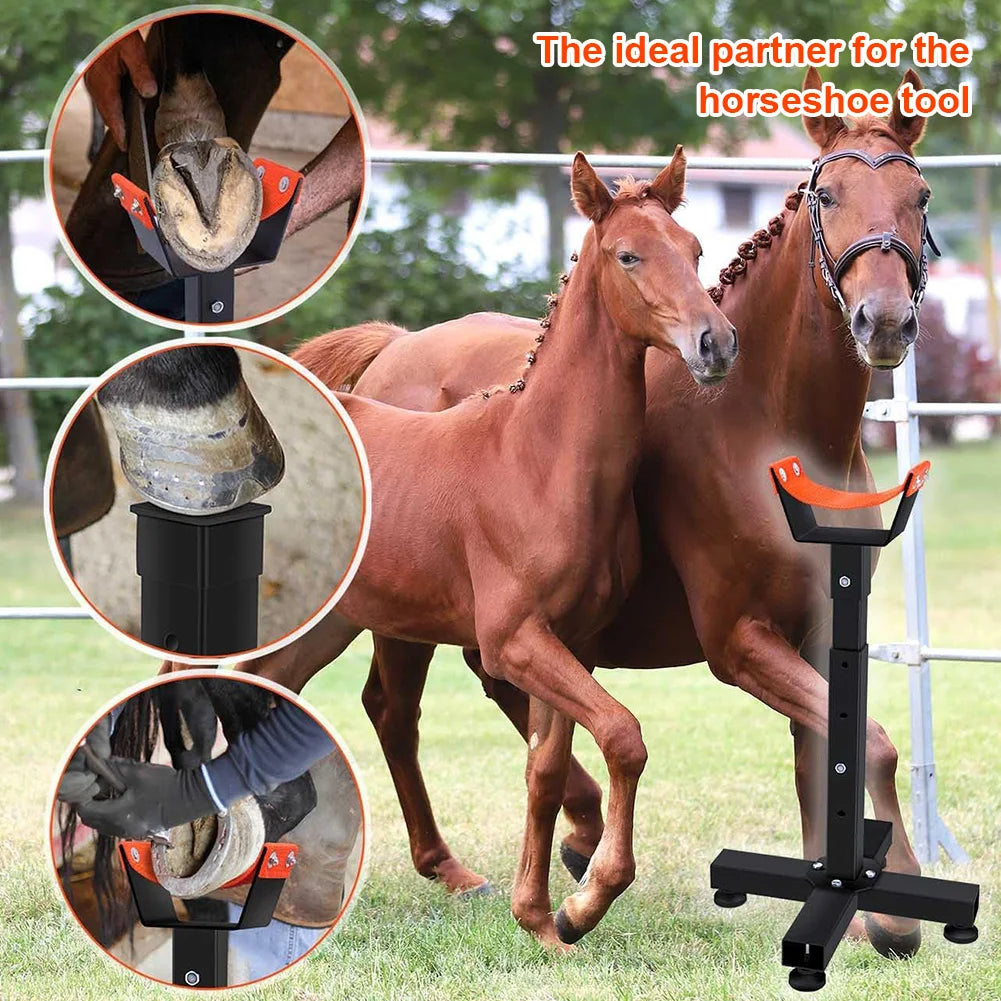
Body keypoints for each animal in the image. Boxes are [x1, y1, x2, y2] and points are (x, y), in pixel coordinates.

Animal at [233, 69, 936, 955]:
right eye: (828, 194)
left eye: (918, 194)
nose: (885, 321)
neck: (767, 428)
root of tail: (393, 345)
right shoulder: (737, 639)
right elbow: (866, 745)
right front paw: (892, 914)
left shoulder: (816, 628)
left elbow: (827, 752)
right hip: (390, 619)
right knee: (389, 709)